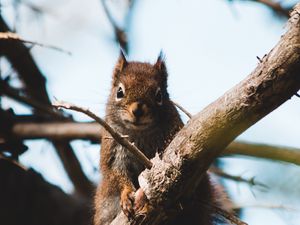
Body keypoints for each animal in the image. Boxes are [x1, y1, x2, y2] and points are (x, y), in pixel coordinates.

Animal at [94, 51, 232, 225]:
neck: (141, 133)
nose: (137, 111)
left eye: (159, 95)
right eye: (119, 92)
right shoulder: (113, 148)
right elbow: (115, 173)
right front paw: (126, 196)